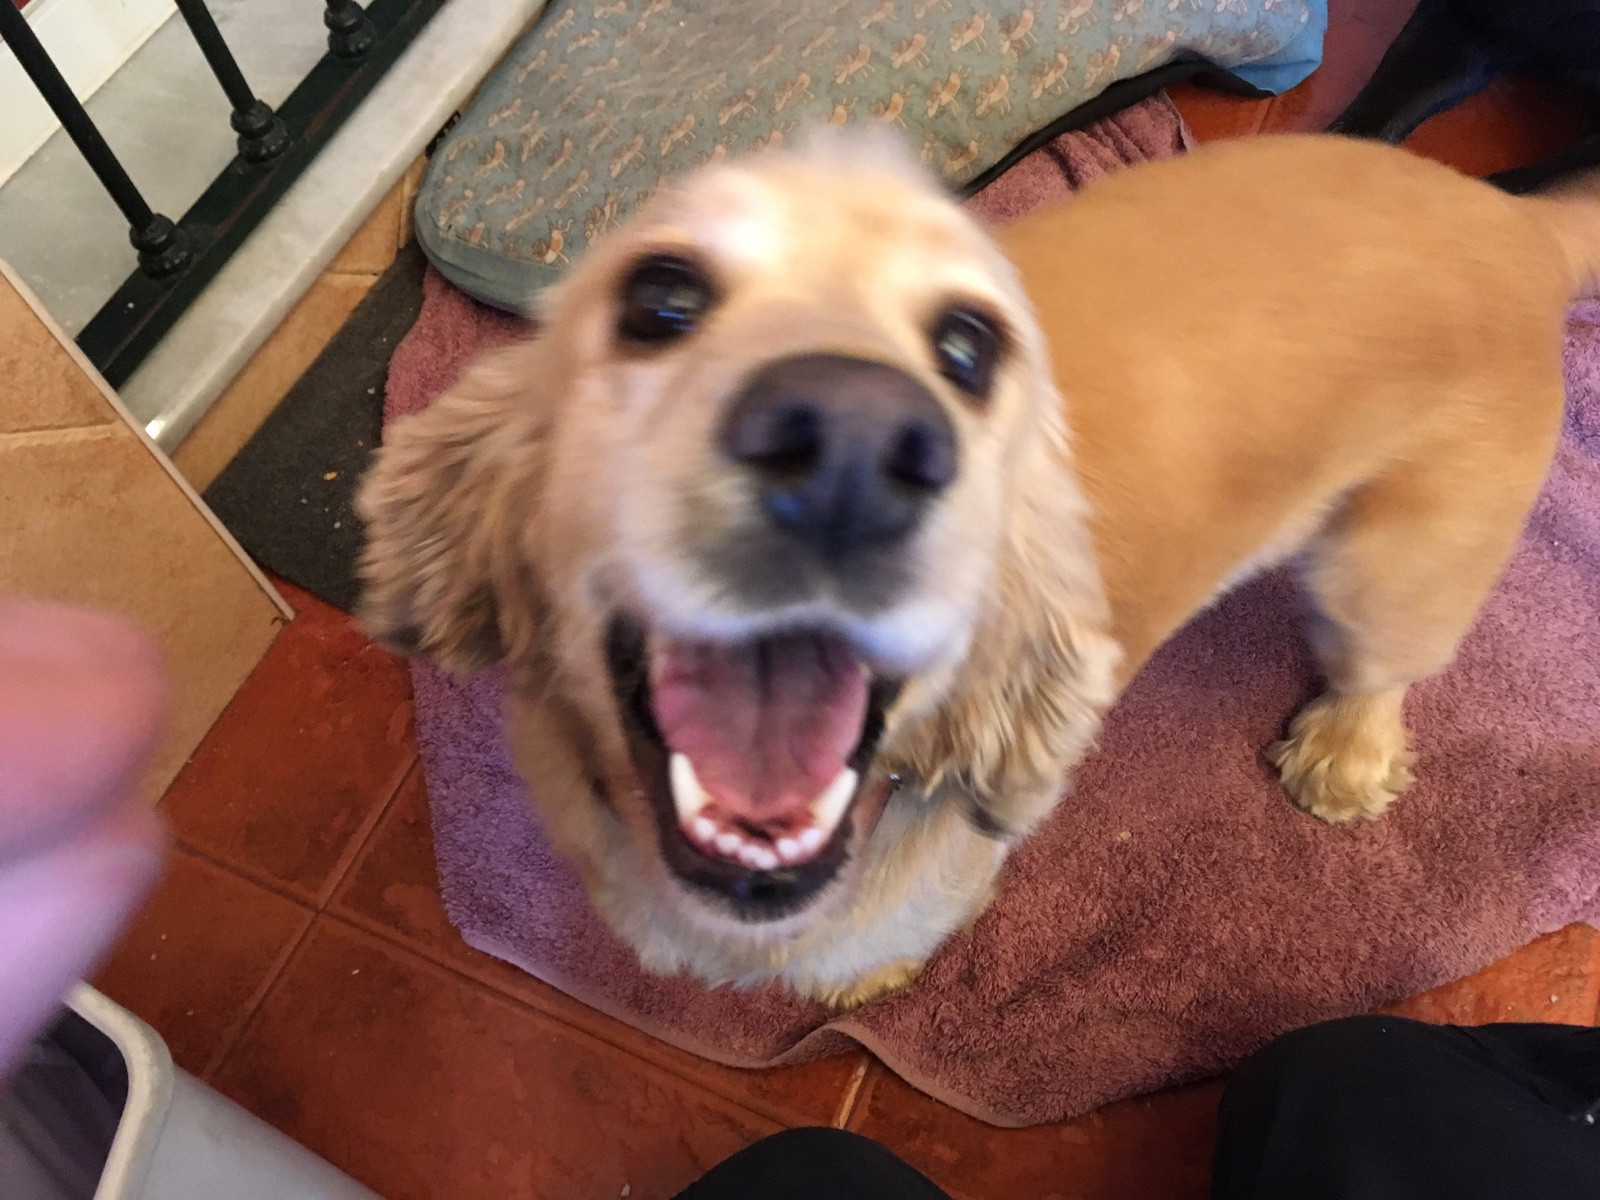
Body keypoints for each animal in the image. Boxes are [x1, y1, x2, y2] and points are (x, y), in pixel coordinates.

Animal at [357, 129, 1599, 1008]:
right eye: (661, 299)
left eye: (967, 346)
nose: (853, 440)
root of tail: (1514, 221)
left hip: (1386, 571)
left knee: (1384, 666)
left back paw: (1345, 753)